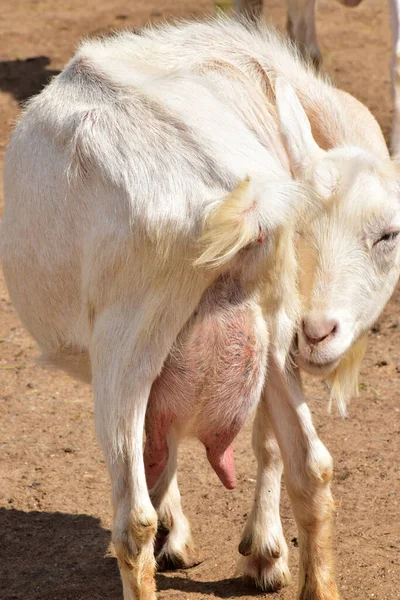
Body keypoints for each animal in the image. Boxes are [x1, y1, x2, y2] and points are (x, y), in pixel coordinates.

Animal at [0, 16, 400, 600]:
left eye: (388, 235)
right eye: (303, 231)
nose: (319, 331)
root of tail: (235, 202)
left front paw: (255, 551)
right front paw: (258, 552)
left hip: (133, 343)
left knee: (135, 518)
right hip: (260, 328)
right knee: (311, 467)